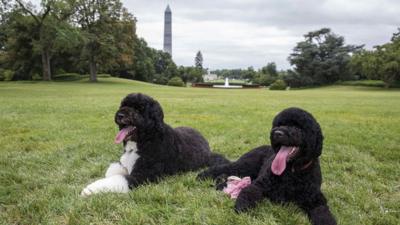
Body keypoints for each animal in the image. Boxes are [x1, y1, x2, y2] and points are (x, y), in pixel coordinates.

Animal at [81, 92, 228, 196]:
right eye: (123, 105)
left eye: (139, 109)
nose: (120, 115)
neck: (146, 140)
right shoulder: (126, 163)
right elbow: (113, 170)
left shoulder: (144, 175)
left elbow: (119, 179)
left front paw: (90, 189)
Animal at [198, 108, 336, 224]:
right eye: (279, 124)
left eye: (297, 127)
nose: (277, 133)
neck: (291, 171)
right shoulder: (260, 185)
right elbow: (248, 192)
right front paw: (242, 208)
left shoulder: (315, 199)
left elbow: (323, 213)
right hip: (245, 166)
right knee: (225, 168)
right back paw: (202, 176)